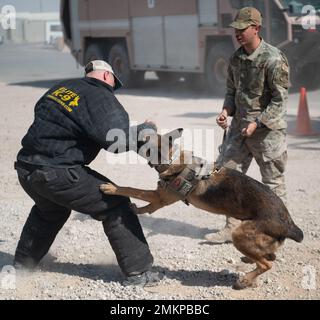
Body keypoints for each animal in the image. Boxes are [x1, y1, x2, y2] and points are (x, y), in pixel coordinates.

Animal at [101, 129, 304, 288]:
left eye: (142, 140)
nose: (124, 134)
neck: (173, 159)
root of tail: (289, 224)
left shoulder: (159, 197)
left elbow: (130, 189)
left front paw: (111, 188)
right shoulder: (159, 199)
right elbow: (147, 207)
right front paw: (135, 209)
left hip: (240, 235)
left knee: (266, 264)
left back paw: (244, 280)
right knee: (270, 257)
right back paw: (250, 261)